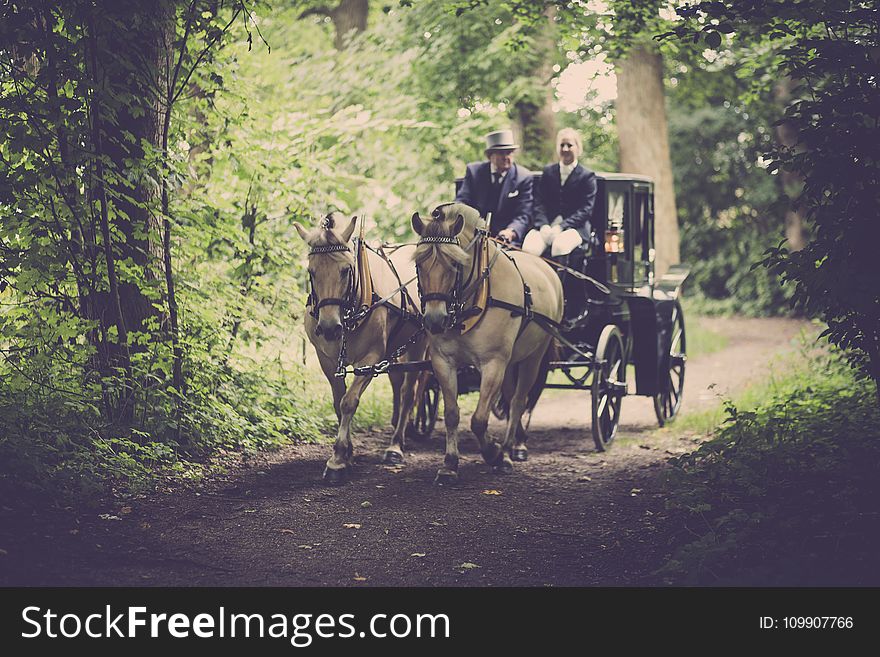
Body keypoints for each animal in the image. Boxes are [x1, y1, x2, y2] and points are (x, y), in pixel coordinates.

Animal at [296, 214, 426, 482]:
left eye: (346, 270)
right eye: (311, 271)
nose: (329, 327)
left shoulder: (370, 359)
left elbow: (349, 401)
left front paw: (337, 460)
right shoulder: (326, 360)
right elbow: (338, 401)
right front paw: (348, 453)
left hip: (420, 344)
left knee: (409, 391)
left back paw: (396, 444)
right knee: (397, 382)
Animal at [412, 202, 564, 484]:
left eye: (454, 262)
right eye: (419, 263)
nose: (435, 320)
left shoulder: (493, 364)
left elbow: (479, 420)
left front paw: (494, 453)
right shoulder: (443, 362)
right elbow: (452, 414)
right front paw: (449, 464)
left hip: (533, 358)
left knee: (518, 401)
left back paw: (512, 447)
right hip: (512, 360)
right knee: (511, 395)